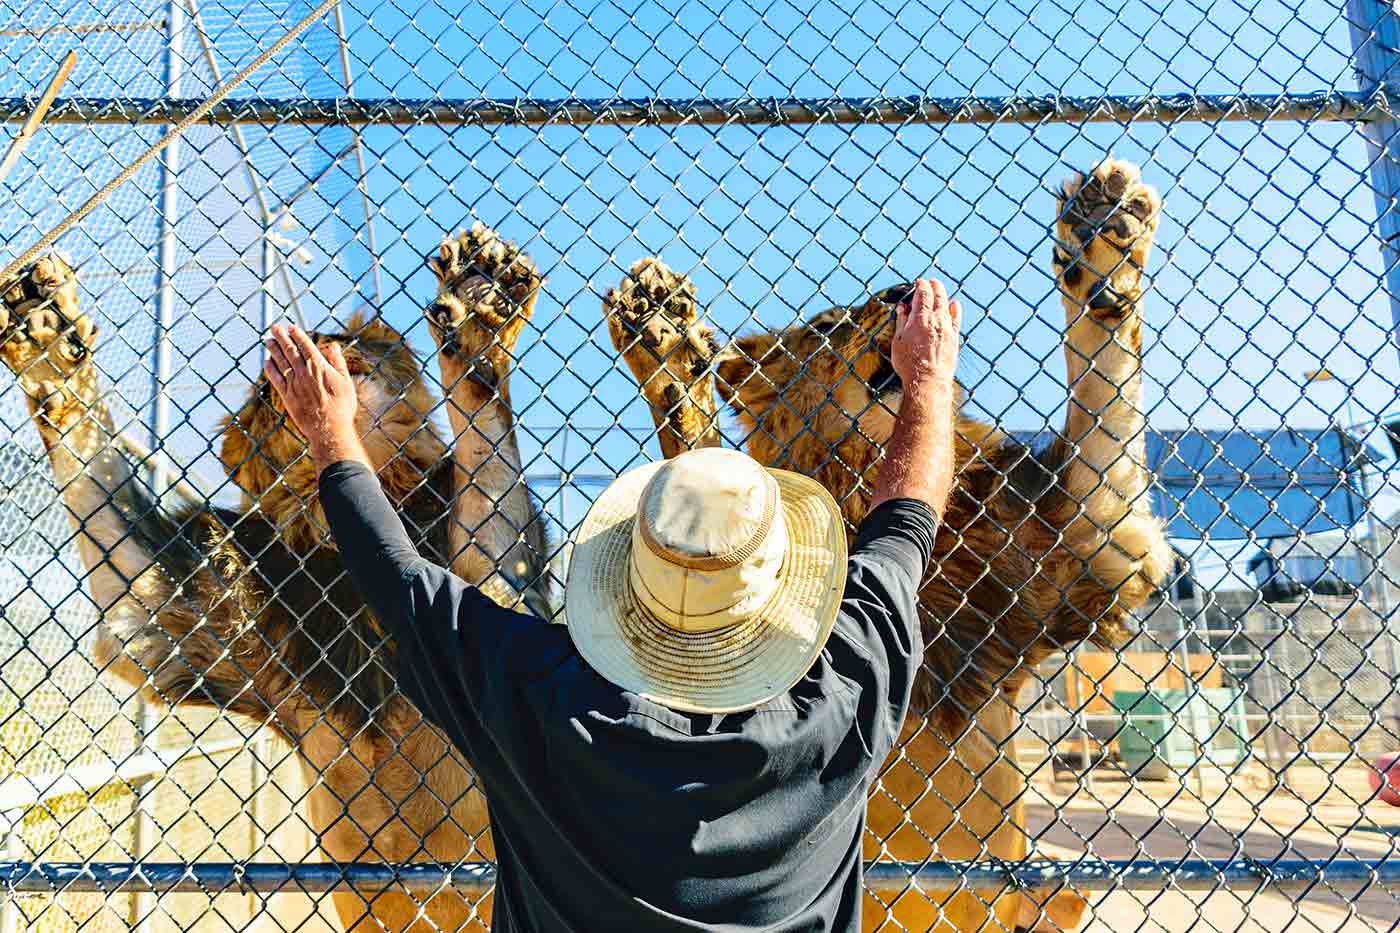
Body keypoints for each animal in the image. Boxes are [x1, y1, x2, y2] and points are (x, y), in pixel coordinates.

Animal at [1, 221, 557, 924]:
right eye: (268, 391)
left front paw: (480, 307)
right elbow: (102, 482)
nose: (311, 343)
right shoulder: (184, 603)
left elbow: (488, 485)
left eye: (343, 338)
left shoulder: (489, 587)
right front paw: (46, 338)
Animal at [602, 159, 1170, 930]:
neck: (863, 478)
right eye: (830, 323)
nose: (904, 292)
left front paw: (1103, 230)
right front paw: (663, 338)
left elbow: (1103, 392)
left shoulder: (1089, 539)